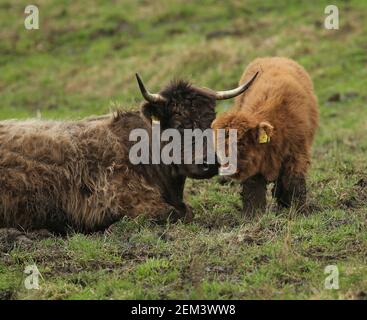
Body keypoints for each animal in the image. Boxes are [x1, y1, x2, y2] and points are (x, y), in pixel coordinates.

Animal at [213, 57, 320, 215]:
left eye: (240, 143)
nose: (226, 168)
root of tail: (275, 58)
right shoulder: (256, 164)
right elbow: (253, 191)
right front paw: (253, 216)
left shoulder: (297, 153)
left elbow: (295, 183)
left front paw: (299, 211)